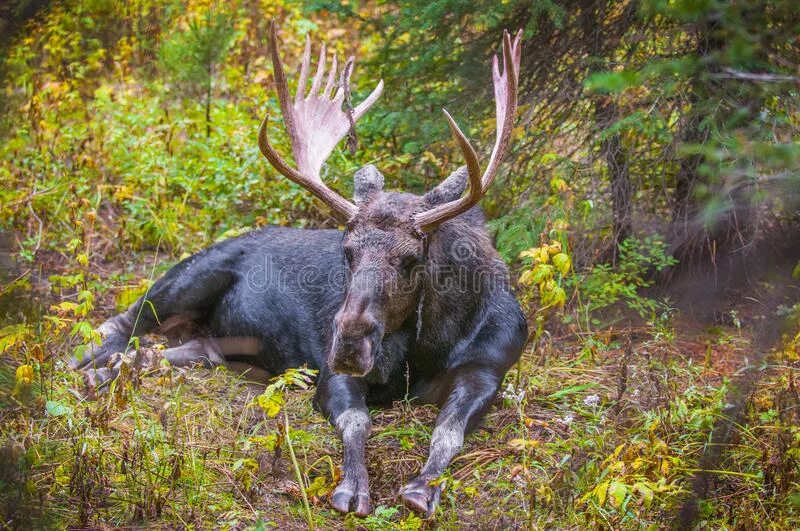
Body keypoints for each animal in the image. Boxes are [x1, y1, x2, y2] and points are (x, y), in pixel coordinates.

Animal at [73, 22, 524, 516]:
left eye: (413, 259)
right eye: (346, 250)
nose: (348, 341)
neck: (431, 346)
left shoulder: (488, 368)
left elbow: (449, 431)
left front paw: (422, 487)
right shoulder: (330, 371)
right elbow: (357, 421)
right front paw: (353, 488)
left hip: (213, 346)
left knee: (165, 352)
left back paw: (118, 369)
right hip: (191, 275)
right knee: (123, 320)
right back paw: (87, 365)